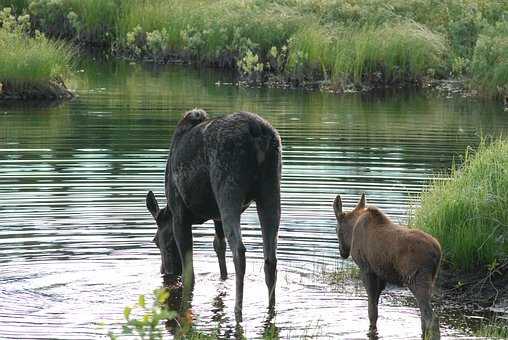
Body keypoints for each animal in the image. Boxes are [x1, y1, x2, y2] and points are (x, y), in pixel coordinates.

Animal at [147, 109, 282, 322]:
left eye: (156, 241)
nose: (166, 273)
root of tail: (257, 133)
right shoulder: (216, 216)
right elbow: (218, 247)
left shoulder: (179, 215)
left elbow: (190, 274)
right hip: (270, 189)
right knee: (270, 259)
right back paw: (271, 310)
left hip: (228, 189)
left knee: (239, 252)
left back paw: (238, 311)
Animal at [334, 194, 440, 340]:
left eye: (336, 230)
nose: (342, 252)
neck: (352, 232)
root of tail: (438, 252)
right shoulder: (381, 275)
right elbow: (375, 308)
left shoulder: (366, 269)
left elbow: (372, 311)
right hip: (430, 280)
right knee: (424, 319)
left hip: (417, 280)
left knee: (431, 319)